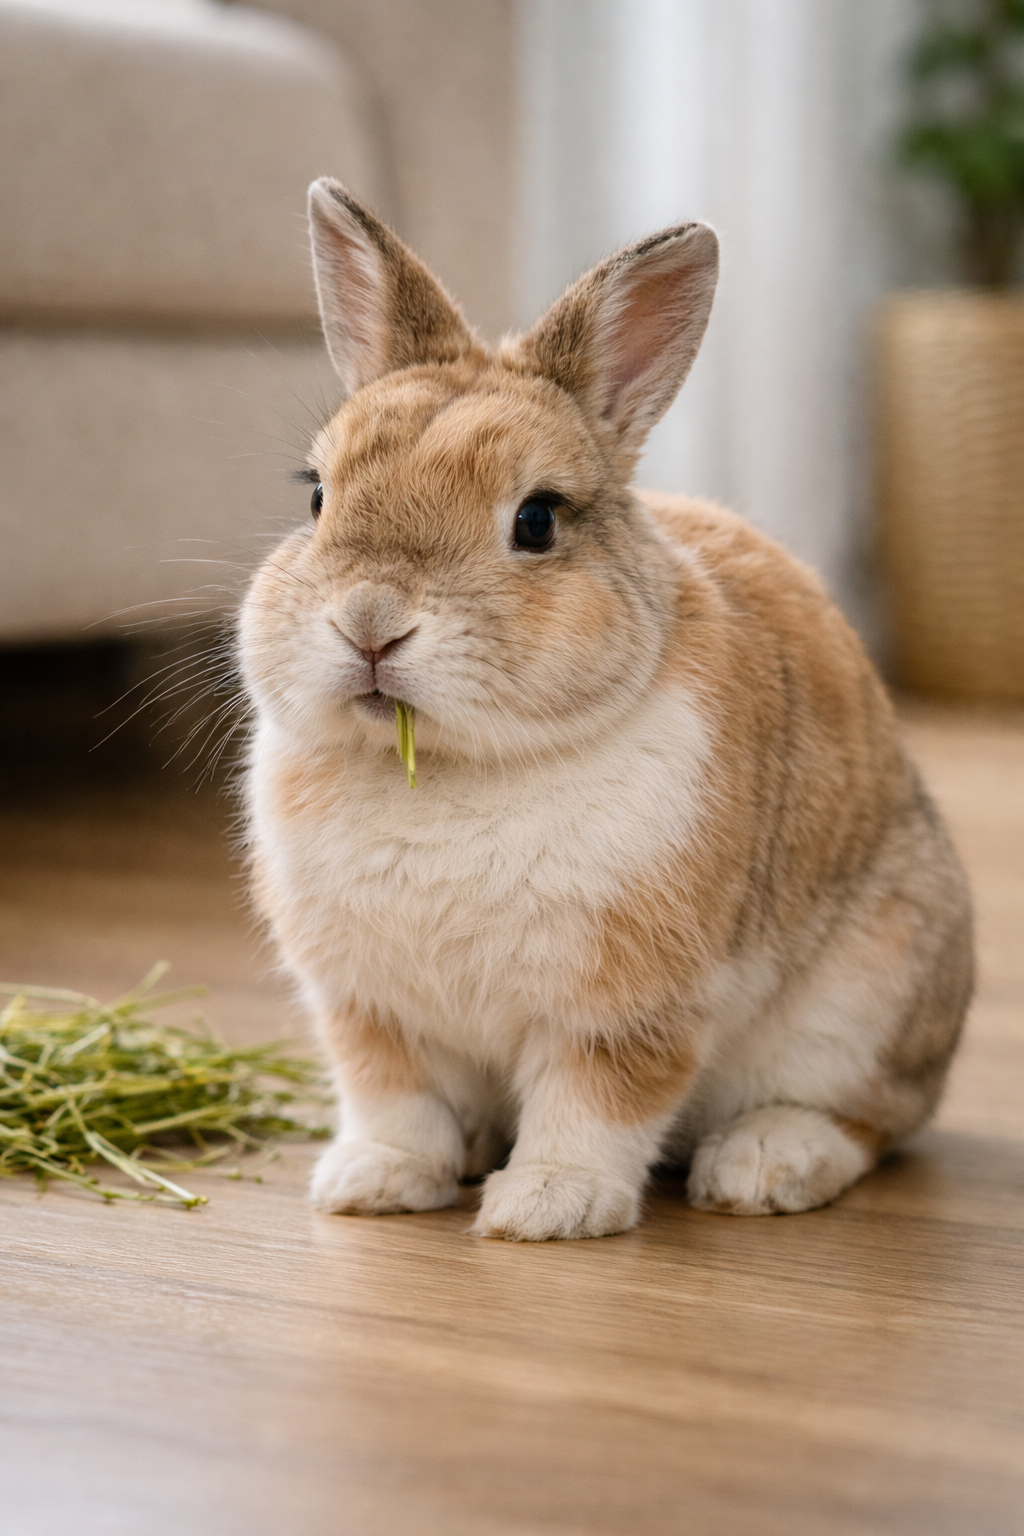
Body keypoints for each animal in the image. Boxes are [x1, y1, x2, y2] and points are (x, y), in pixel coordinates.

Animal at [238, 178, 973, 1241]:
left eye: (537, 520)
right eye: (316, 497)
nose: (369, 624)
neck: (458, 766)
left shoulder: (628, 1007)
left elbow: (597, 1102)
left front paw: (547, 1207)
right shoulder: (372, 1010)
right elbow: (396, 1101)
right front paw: (374, 1183)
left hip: (868, 998)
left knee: (871, 1119)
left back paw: (761, 1165)